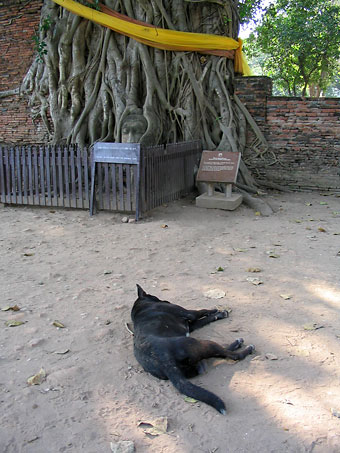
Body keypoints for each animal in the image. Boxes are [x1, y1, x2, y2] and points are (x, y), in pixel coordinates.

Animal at [131, 284, 254, 414]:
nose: (166, 301)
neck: (140, 308)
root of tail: (165, 362)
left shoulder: (191, 325)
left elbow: (205, 319)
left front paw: (217, 314)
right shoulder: (189, 313)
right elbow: (202, 311)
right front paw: (218, 311)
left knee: (219, 354)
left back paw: (236, 344)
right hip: (201, 343)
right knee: (231, 355)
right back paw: (244, 347)